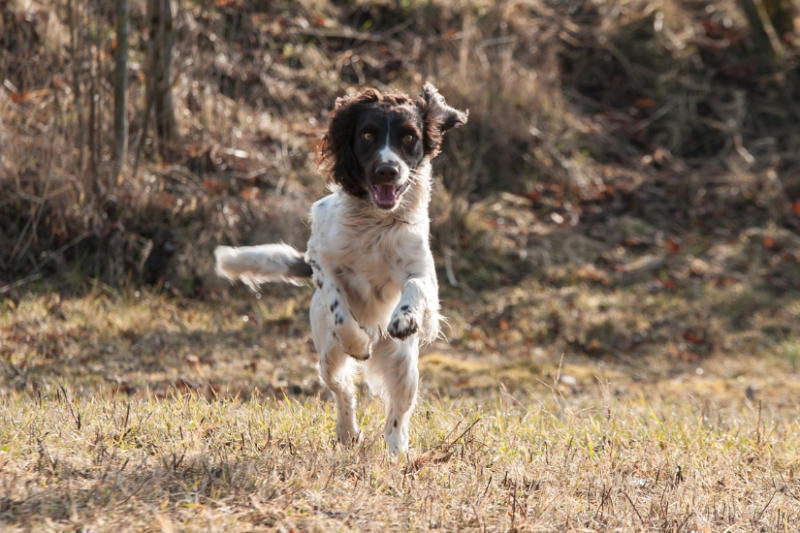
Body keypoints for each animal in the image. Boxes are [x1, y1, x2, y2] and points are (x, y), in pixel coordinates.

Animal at [216, 83, 468, 454]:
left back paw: (398, 454)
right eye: (367, 134)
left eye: (409, 136)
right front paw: (359, 343)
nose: (387, 170)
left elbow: (415, 288)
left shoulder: (423, 272)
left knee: (397, 417)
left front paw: (405, 317)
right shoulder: (320, 258)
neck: (376, 223)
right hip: (327, 358)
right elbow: (339, 306)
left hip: (404, 366)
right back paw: (349, 431)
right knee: (343, 390)